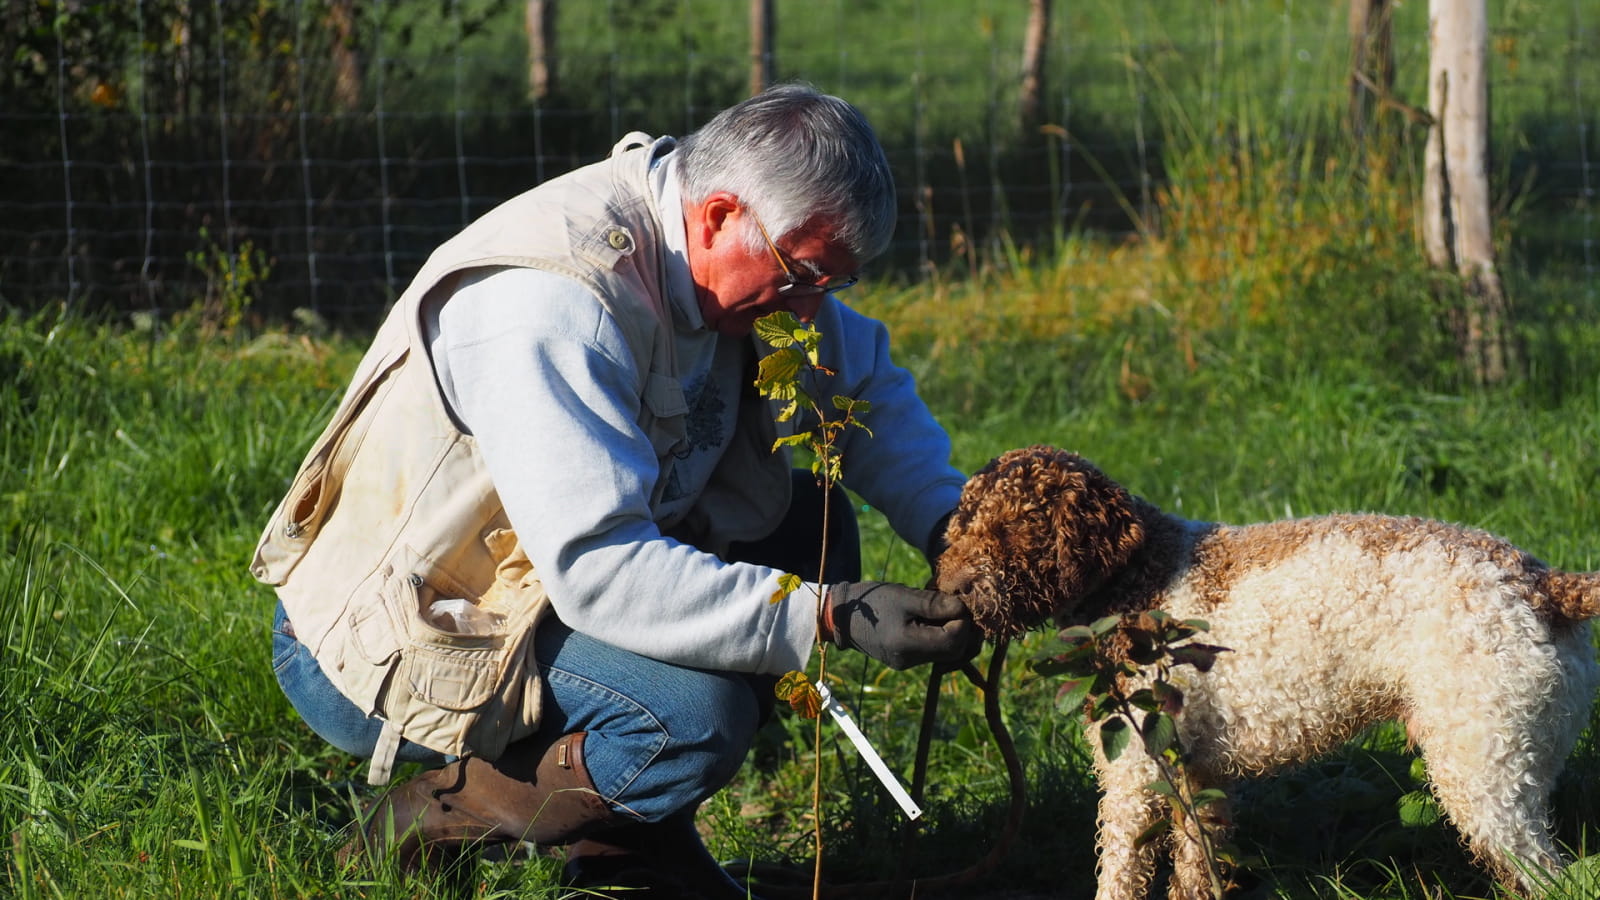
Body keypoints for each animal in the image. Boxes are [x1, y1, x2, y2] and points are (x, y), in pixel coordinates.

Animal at [934, 441, 1600, 896]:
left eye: (1016, 528)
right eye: (964, 524)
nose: (950, 590)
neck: (1139, 574)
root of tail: (1546, 583)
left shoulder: (1134, 778)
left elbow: (1119, 877)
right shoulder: (1196, 779)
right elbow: (1196, 873)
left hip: (1486, 771)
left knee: (1555, 876)